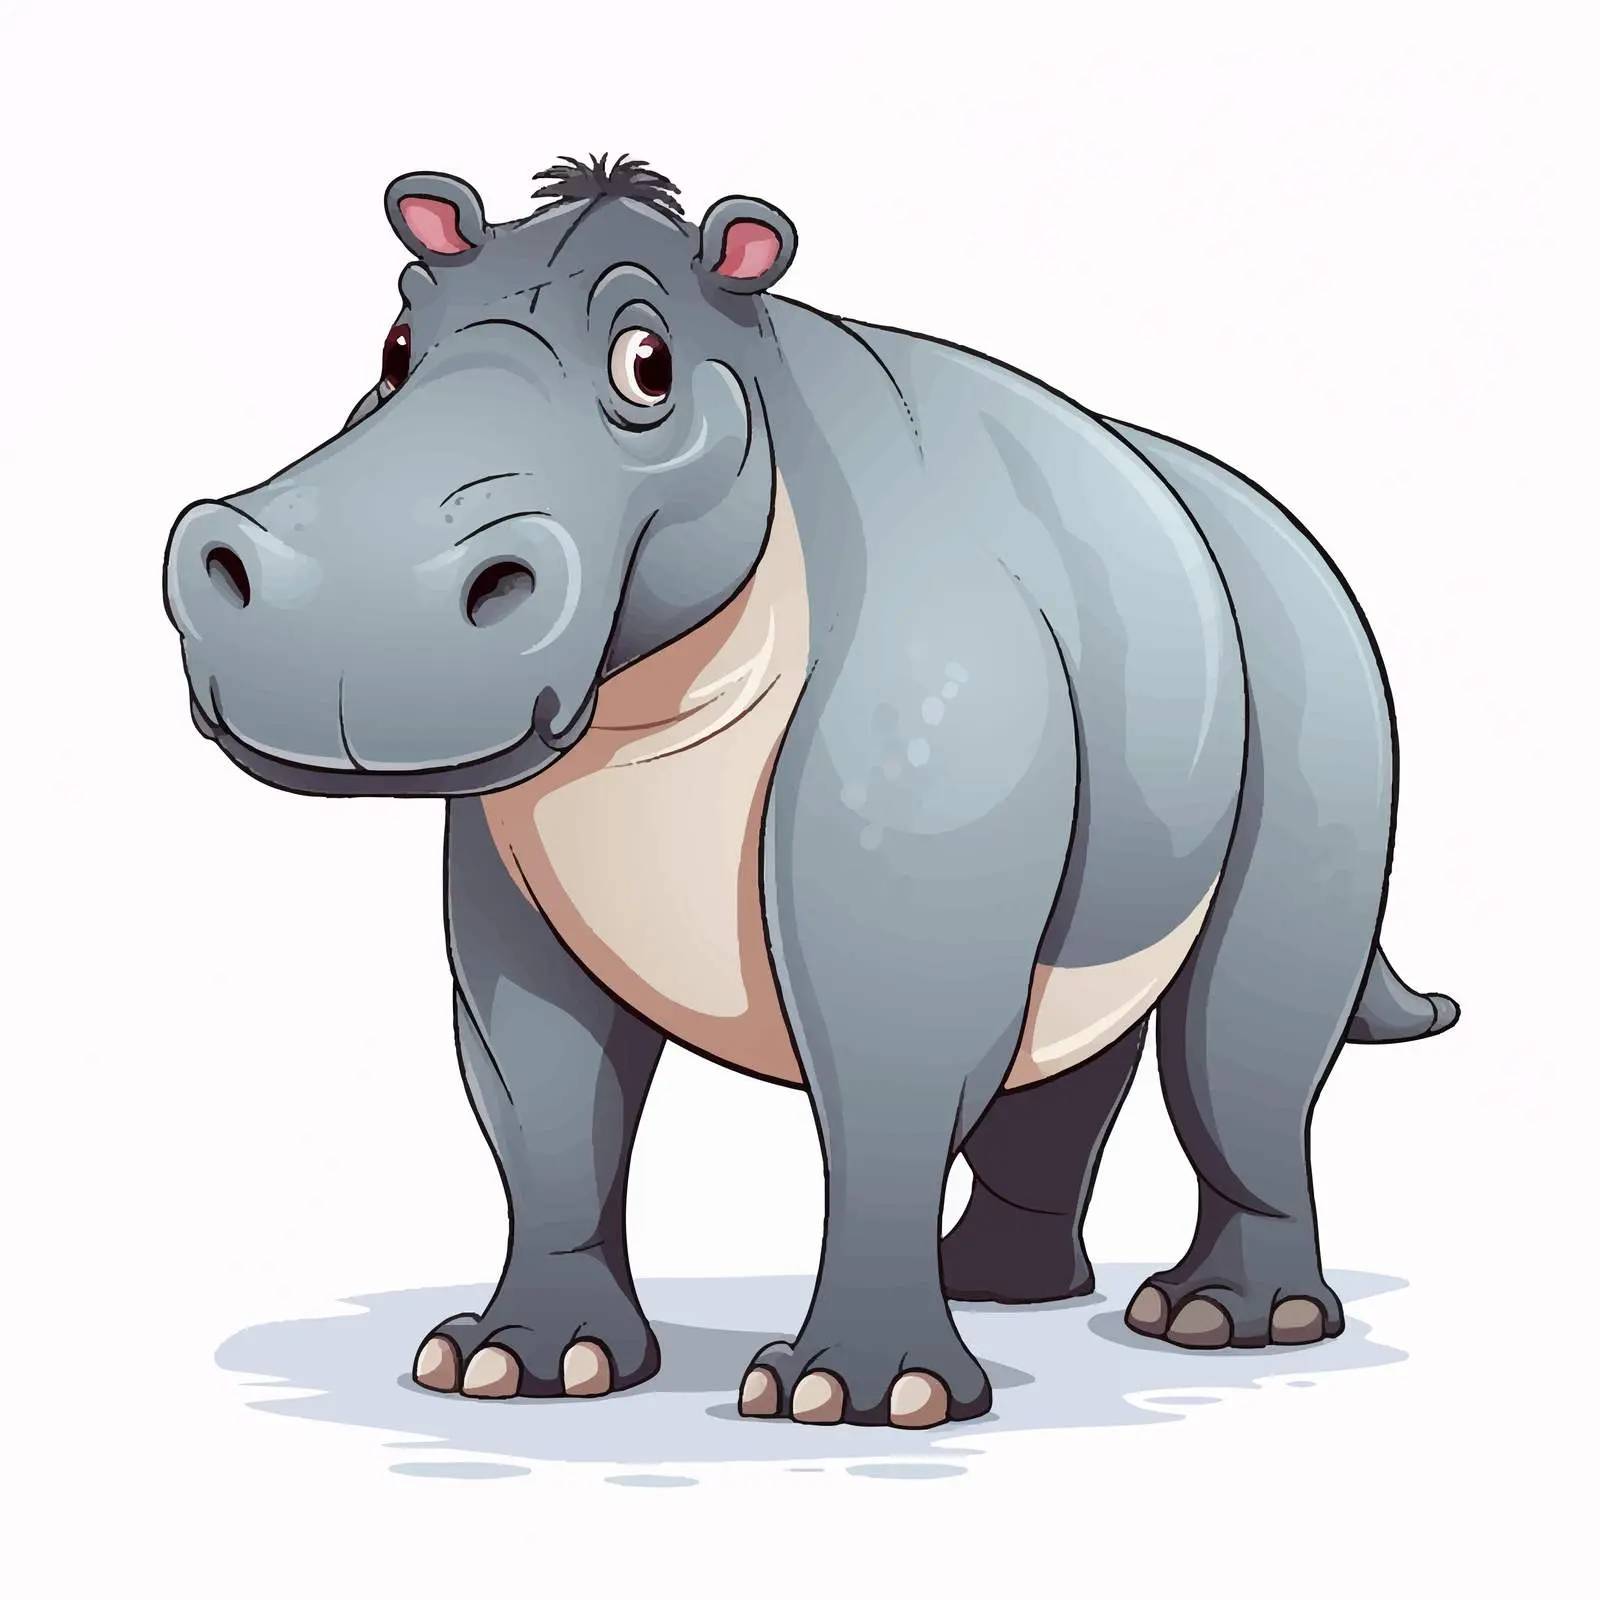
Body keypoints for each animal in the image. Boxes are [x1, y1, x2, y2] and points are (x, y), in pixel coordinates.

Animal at [163, 154, 1459, 1430]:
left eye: (647, 366)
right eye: (393, 345)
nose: (339, 613)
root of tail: (1273, 520)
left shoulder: (918, 830)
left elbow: (888, 1079)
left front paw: (863, 1397)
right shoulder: (512, 857)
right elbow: (543, 1098)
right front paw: (518, 1365)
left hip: (1313, 663)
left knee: (1239, 1051)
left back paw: (1222, 1324)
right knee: (1071, 1033)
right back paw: (1002, 1286)